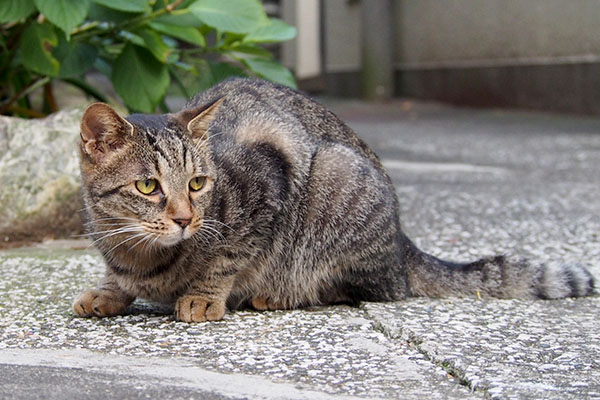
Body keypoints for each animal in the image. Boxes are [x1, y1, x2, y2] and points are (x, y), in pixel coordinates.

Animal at [71, 77, 596, 322]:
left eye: (198, 184)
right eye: (148, 187)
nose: (185, 219)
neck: (143, 258)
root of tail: (403, 243)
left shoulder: (269, 177)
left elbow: (227, 255)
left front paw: (203, 295)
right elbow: (117, 277)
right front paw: (110, 289)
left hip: (336, 176)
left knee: (372, 289)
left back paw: (278, 294)